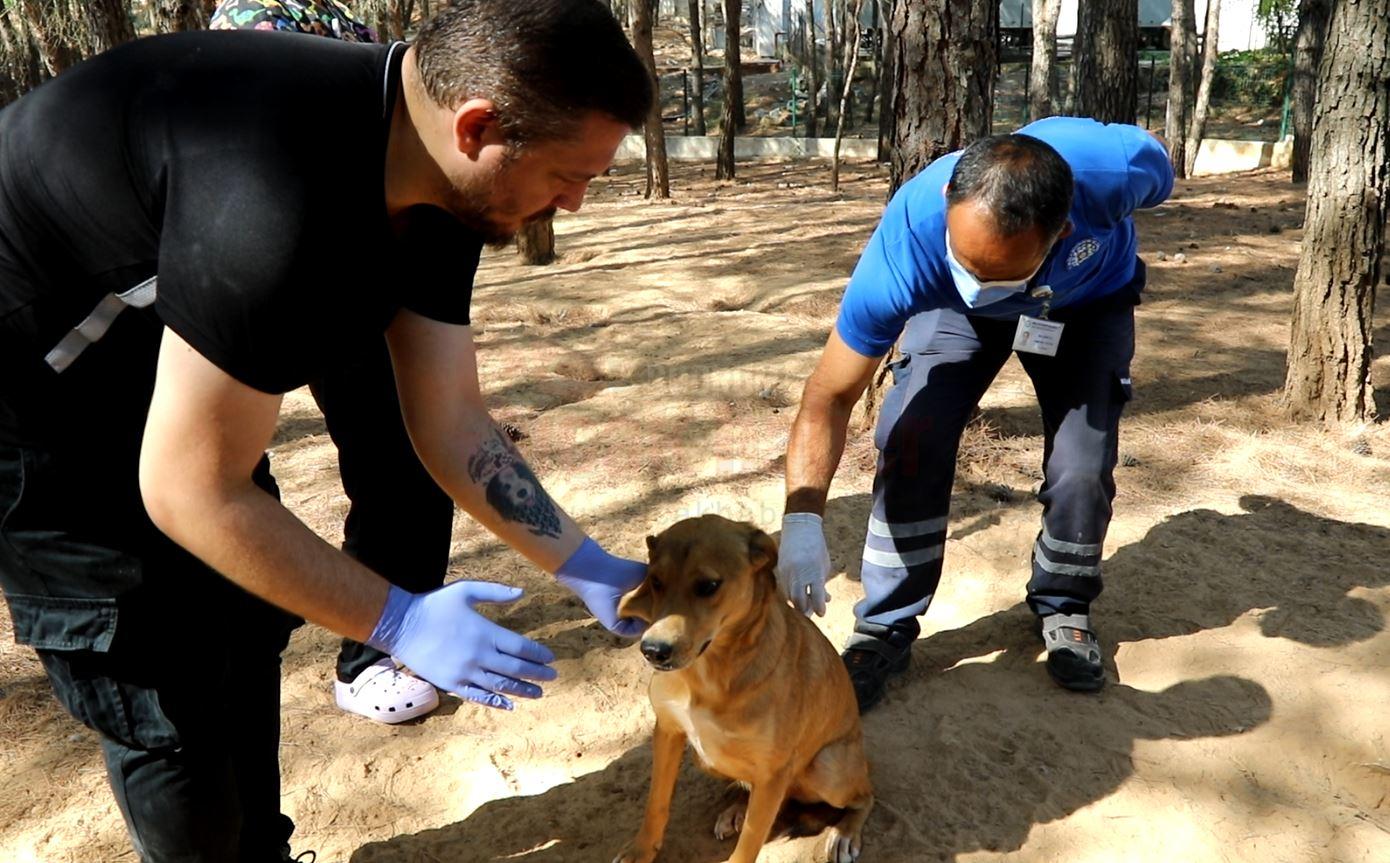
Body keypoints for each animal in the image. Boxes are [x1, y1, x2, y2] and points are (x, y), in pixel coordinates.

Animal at [617, 514, 872, 861]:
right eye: (655, 581)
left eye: (708, 586)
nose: (653, 650)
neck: (707, 674)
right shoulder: (668, 731)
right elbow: (656, 803)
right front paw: (641, 850)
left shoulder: (773, 772)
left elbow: (750, 842)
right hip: (709, 757)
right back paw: (736, 810)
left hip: (827, 767)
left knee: (866, 795)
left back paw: (845, 832)